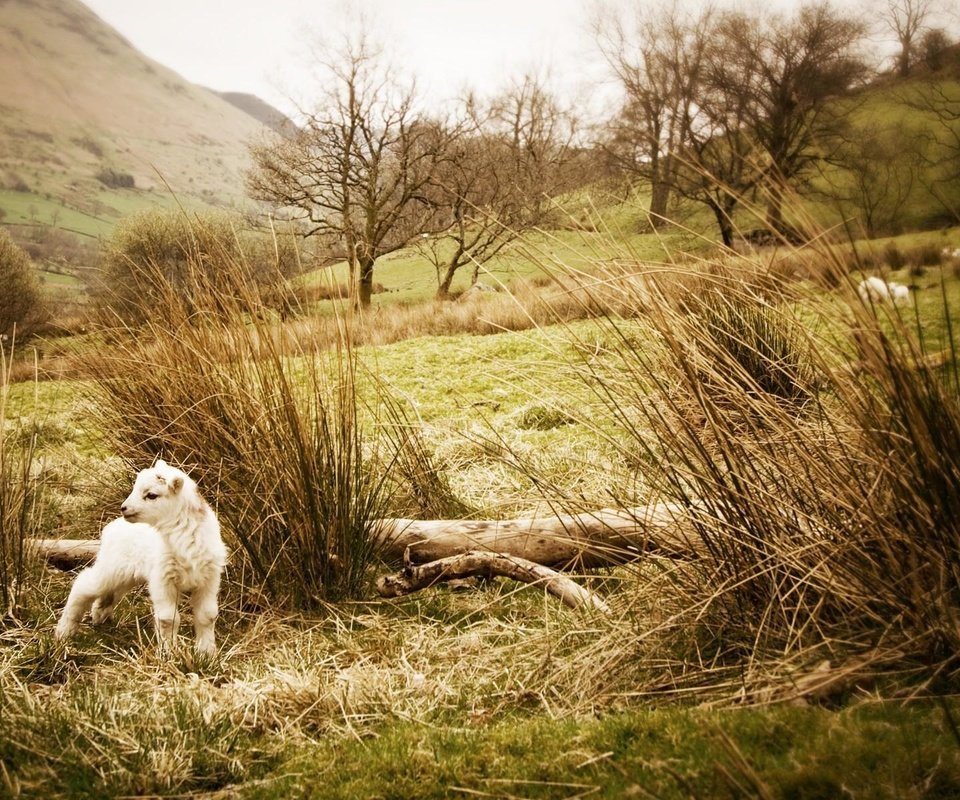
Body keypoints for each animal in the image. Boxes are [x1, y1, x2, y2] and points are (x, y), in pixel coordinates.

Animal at [55, 460, 227, 652]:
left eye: (151, 495)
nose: (124, 508)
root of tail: (112, 526)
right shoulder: (162, 578)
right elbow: (168, 619)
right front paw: (168, 652)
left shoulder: (209, 579)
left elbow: (207, 616)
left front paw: (206, 652)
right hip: (111, 567)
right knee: (83, 584)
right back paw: (64, 632)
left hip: (127, 575)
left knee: (109, 594)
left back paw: (99, 616)